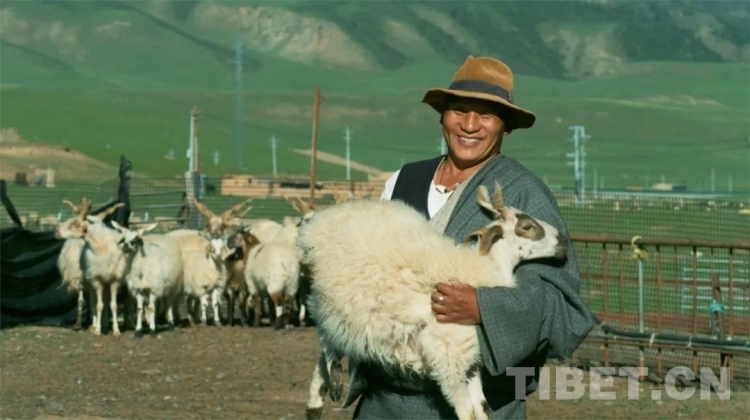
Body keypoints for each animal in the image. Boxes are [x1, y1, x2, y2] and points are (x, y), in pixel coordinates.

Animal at [297, 182, 568, 420]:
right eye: (527, 226)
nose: (564, 242)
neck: (482, 269)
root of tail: (318, 223)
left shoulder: (470, 359)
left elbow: (481, 409)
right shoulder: (447, 360)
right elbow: (467, 413)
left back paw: (317, 401)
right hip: (328, 300)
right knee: (326, 339)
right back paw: (333, 380)